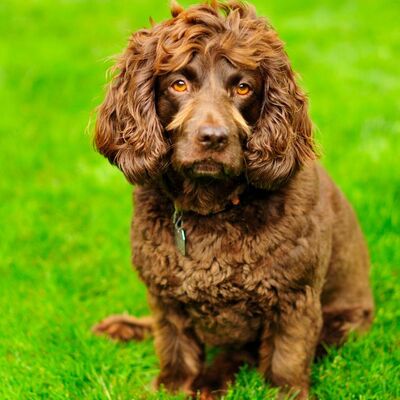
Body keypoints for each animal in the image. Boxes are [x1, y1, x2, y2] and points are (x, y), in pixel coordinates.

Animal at [92, 1, 374, 398]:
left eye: (243, 87)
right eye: (179, 83)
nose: (213, 137)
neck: (211, 210)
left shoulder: (295, 298)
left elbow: (285, 358)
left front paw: (286, 392)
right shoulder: (165, 296)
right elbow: (174, 344)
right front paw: (171, 385)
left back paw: (212, 378)